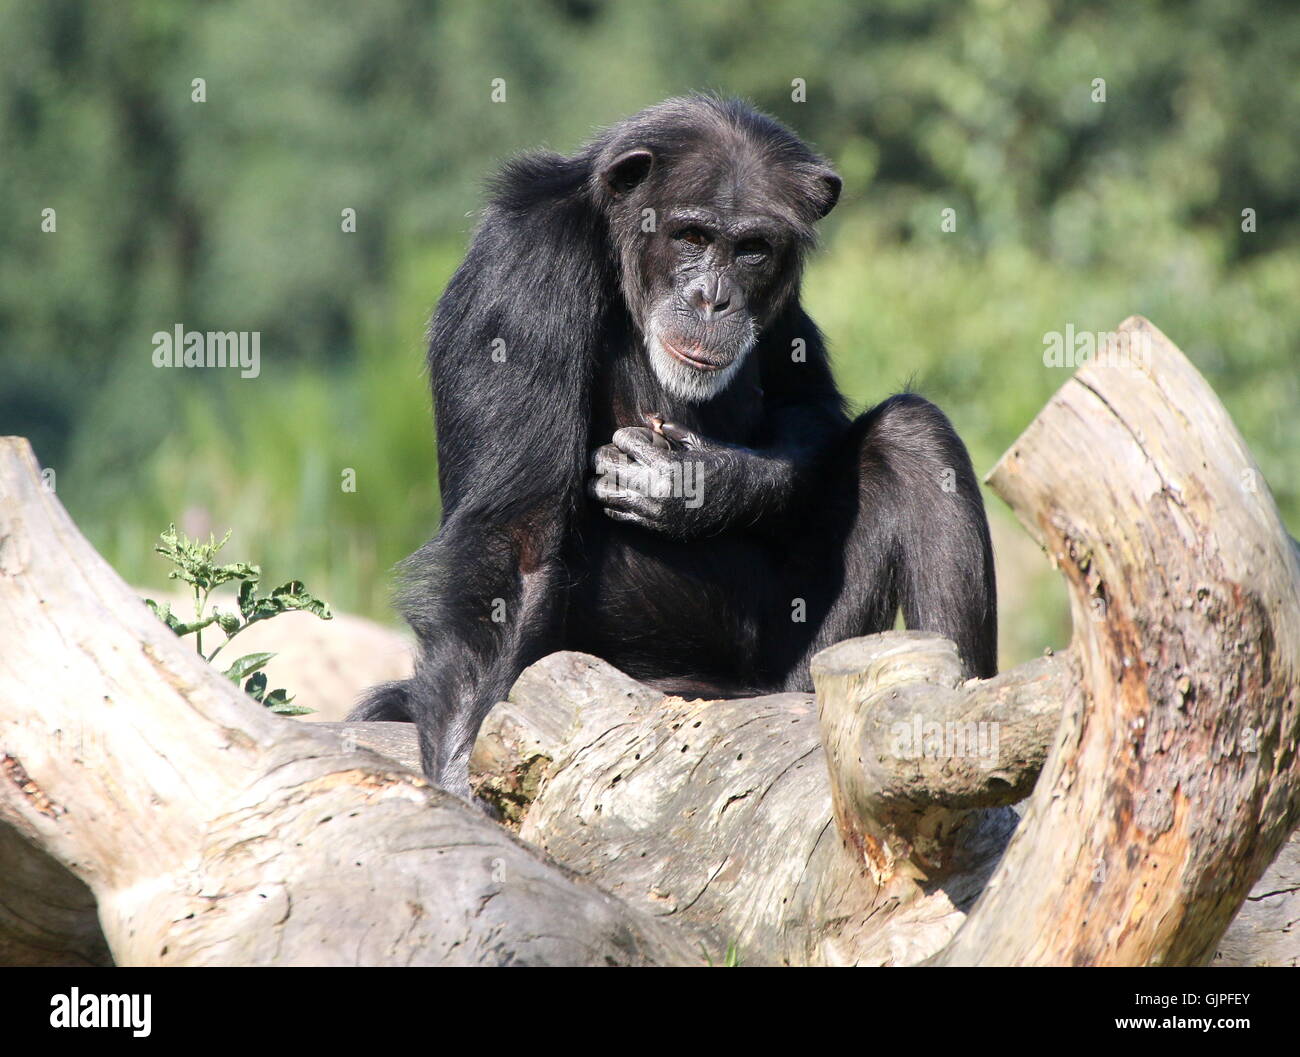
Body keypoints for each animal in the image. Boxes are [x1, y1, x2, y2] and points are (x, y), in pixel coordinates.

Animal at [353, 98, 993, 795]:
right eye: (691, 238)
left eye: (752, 249)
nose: (713, 298)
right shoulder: (525, 265)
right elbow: (517, 546)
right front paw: (456, 779)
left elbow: (809, 402)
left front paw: (699, 484)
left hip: (806, 671)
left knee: (911, 436)